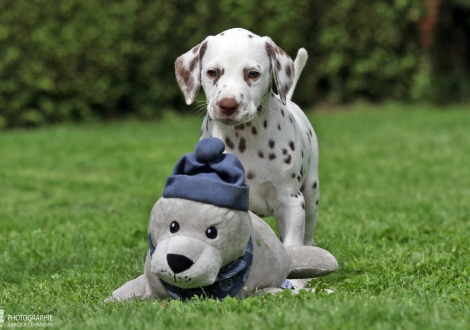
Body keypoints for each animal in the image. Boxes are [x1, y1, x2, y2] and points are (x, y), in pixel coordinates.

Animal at [175, 28, 320, 249]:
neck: (243, 140)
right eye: (212, 72)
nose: (228, 105)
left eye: (253, 74)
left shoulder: (291, 201)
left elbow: (292, 244)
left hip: (311, 191)